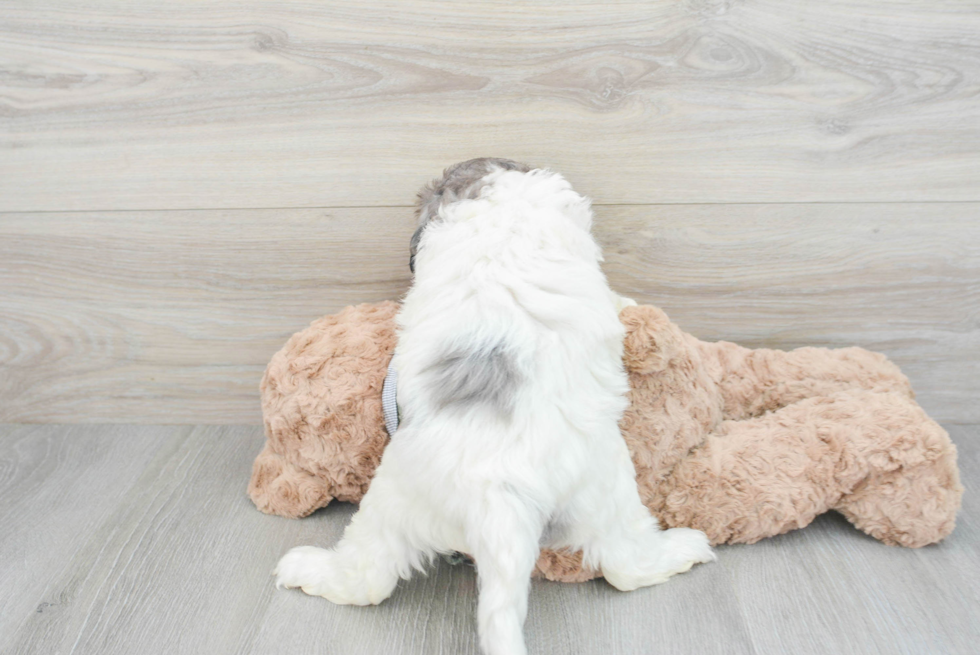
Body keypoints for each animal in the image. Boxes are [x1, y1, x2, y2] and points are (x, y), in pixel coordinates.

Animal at [274, 159, 712, 655]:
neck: (501, 214)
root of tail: (498, 497)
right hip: (605, 493)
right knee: (626, 566)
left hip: (410, 506)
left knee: (366, 579)